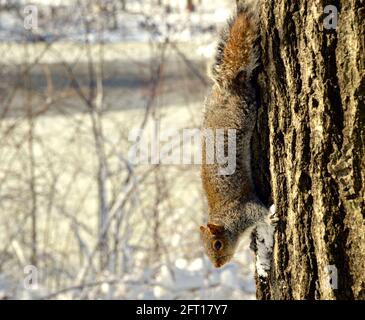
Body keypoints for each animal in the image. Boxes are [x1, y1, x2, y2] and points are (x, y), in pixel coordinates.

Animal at [199, 0, 276, 268]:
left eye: (217, 244)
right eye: (205, 249)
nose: (217, 266)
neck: (224, 217)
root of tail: (226, 87)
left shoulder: (244, 210)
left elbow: (260, 212)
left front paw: (272, 217)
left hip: (244, 109)